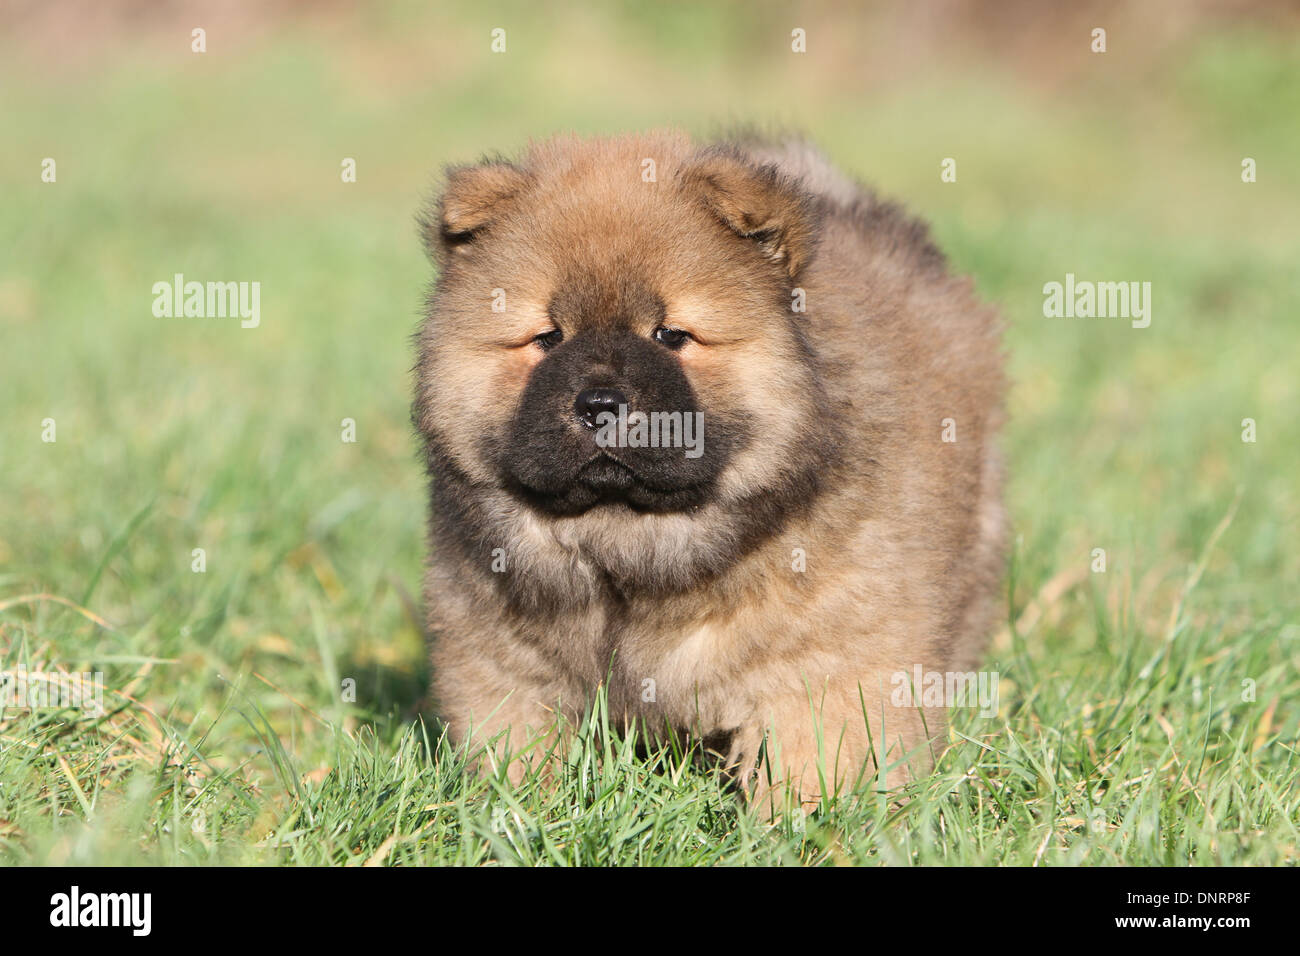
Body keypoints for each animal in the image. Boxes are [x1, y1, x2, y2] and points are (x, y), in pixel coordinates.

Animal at [416, 130, 1003, 811]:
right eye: (547, 338)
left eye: (672, 335)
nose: (599, 403)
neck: (631, 553)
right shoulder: (498, 660)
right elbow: (515, 750)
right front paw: (517, 813)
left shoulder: (827, 663)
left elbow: (817, 760)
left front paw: (811, 823)